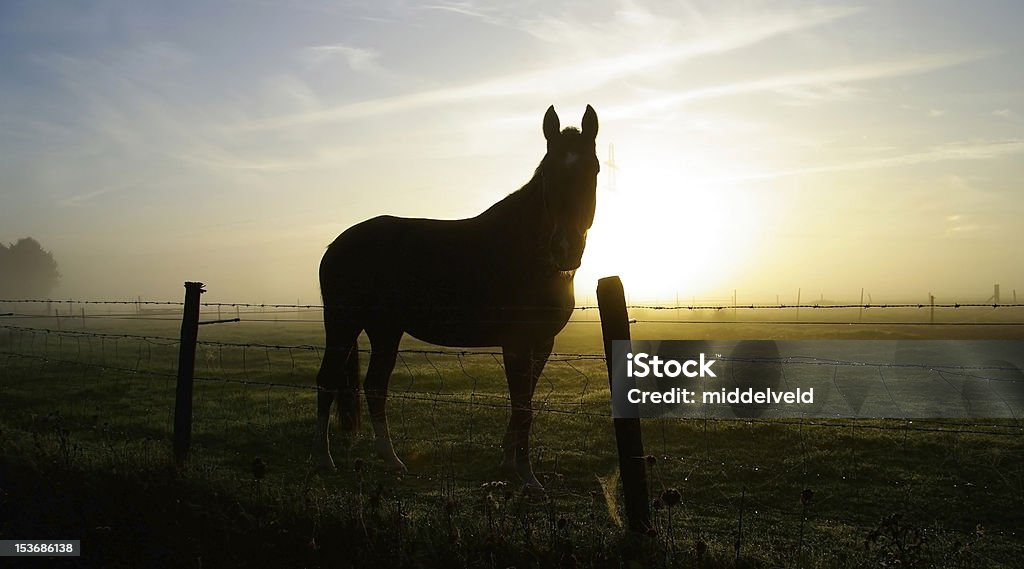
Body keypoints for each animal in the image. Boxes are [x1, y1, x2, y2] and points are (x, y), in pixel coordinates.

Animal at [313, 104, 598, 487]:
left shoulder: (542, 343)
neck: (526, 250)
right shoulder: (517, 342)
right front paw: (527, 477)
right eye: (549, 173)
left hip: (385, 330)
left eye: (593, 169)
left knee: (375, 386)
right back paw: (325, 460)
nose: (565, 249)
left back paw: (393, 461)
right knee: (327, 381)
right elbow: (522, 406)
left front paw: (509, 464)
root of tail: (337, 245)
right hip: (343, 324)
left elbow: (522, 403)